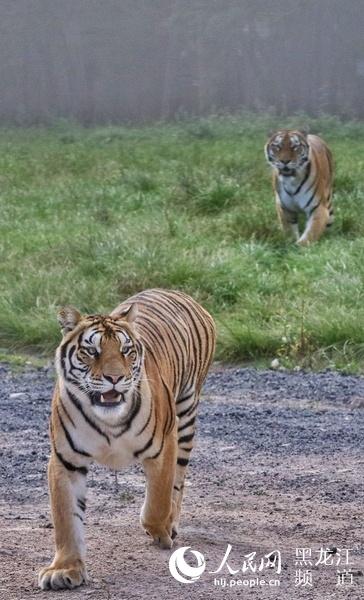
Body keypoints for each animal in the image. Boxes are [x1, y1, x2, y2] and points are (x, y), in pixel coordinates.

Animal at [38, 290, 215, 592]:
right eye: (91, 351)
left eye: (126, 350)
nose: (115, 378)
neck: (108, 420)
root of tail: (175, 291)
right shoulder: (65, 460)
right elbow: (66, 520)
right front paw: (65, 569)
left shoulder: (164, 444)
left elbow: (157, 501)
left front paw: (161, 532)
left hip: (186, 414)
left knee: (178, 481)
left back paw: (171, 522)